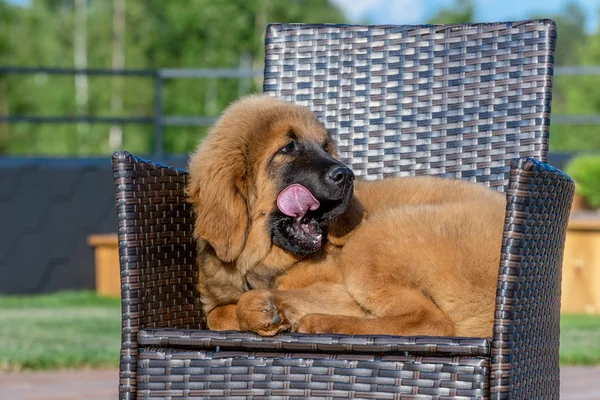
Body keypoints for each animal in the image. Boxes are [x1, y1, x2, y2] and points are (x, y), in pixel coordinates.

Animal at [188, 94, 506, 338]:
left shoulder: (339, 292)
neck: (264, 264)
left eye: (325, 147)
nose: (347, 175)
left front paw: (267, 308)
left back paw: (319, 322)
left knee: (432, 322)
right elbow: (216, 314)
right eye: (288, 147)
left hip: (372, 239)